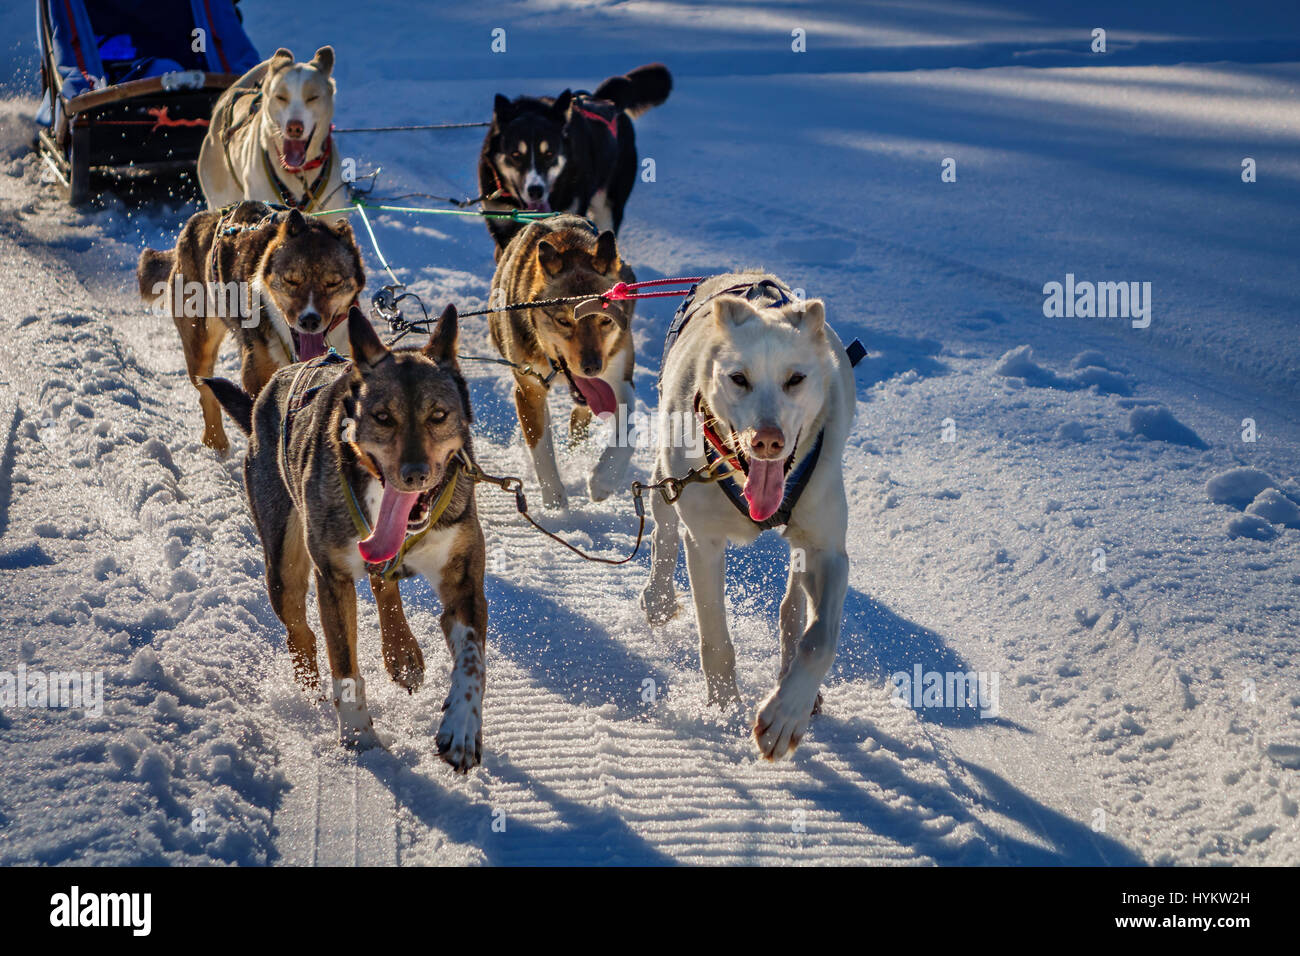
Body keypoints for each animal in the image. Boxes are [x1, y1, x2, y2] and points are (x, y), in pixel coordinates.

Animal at [139, 200, 364, 455]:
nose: (309, 320)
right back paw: (216, 442)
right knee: (206, 393)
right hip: (200, 345)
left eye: (333, 283)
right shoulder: (257, 377)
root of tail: (201, 219)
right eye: (291, 280)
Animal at [202, 306, 488, 770]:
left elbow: (472, 663)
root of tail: (270, 388)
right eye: (383, 416)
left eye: (438, 415)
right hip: (283, 563)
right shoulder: (332, 577)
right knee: (301, 630)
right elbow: (345, 664)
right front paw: (358, 737)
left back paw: (402, 652)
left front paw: (461, 728)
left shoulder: (462, 579)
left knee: (383, 585)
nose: (414, 474)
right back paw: (310, 689)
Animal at [488, 210, 637, 509]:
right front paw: (555, 499)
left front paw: (604, 479)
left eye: (605, 320)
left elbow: (628, 430)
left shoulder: (619, 374)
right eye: (564, 321)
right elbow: (541, 447)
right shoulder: (529, 389)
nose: (592, 367)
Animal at [637, 274, 852, 764]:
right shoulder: (705, 544)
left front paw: (785, 714)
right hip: (667, 479)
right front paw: (725, 708)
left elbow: (820, 640)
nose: (767, 440)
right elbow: (716, 639)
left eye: (795, 378)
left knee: (793, 607)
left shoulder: (829, 550)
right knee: (663, 530)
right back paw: (659, 596)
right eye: (739, 378)